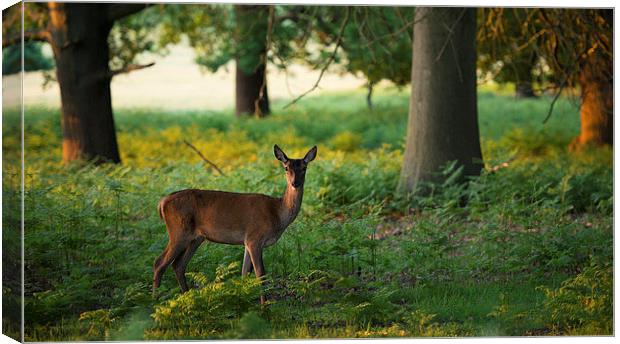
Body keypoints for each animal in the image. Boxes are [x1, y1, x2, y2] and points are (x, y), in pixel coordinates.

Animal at [153, 144, 318, 302]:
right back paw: (155, 299)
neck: (277, 213)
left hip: (196, 238)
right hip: (178, 231)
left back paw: (188, 296)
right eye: (286, 168)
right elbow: (260, 274)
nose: (295, 183)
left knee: (178, 265)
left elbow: (245, 273)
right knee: (159, 263)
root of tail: (162, 203)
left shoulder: (247, 241)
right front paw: (264, 305)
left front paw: (242, 298)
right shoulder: (254, 238)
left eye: (304, 168)